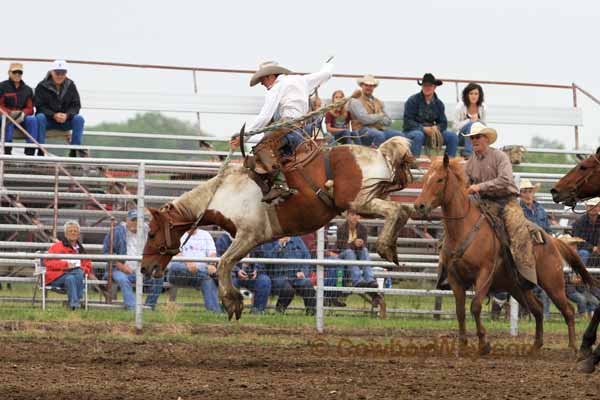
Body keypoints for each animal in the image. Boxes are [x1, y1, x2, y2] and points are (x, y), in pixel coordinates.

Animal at [141, 137, 414, 318]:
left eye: (152, 233)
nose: (145, 267)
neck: (222, 195)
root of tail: (380, 153)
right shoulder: (250, 240)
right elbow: (228, 263)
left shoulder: (248, 235)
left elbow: (224, 262)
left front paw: (232, 303)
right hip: (367, 201)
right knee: (402, 210)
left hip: (359, 200)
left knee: (396, 210)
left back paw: (386, 247)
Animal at [412, 155, 596, 354]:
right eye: (424, 179)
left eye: (440, 179)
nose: (419, 205)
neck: (462, 229)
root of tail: (553, 241)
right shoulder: (455, 279)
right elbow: (460, 311)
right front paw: (462, 345)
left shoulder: (484, 274)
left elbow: (475, 306)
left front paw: (484, 344)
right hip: (517, 287)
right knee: (538, 309)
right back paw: (535, 346)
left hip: (553, 283)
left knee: (568, 310)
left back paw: (572, 347)